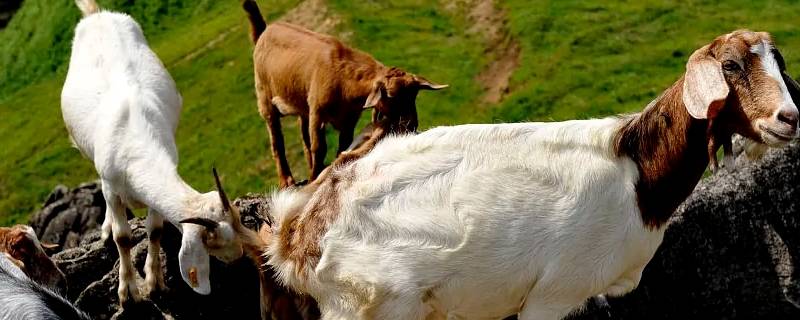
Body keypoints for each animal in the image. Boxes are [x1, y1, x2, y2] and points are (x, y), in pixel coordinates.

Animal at [62, 0, 245, 306]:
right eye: (213, 241)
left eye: (239, 219)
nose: (239, 255)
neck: (135, 145)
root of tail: (97, 15)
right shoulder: (111, 184)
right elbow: (123, 238)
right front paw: (128, 291)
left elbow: (155, 231)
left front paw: (155, 281)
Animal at [241, 0, 446, 189]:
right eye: (391, 96)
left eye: (414, 96)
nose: (412, 124)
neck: (345, 82)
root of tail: (264, 31)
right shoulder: (317, 111)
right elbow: (319, 147)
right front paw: (315, 178)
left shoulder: (349, 119)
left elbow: (342, 145)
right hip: (264, 97)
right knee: (277, 141)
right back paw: (287, 180)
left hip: (301, 103)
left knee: (303, 137)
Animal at [247, 30, 796, 320]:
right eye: (730, 66)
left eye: (779, 62)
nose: (788, 118)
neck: (639, 172)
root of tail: (300, 231)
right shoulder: (553, 293)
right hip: (366, 306)